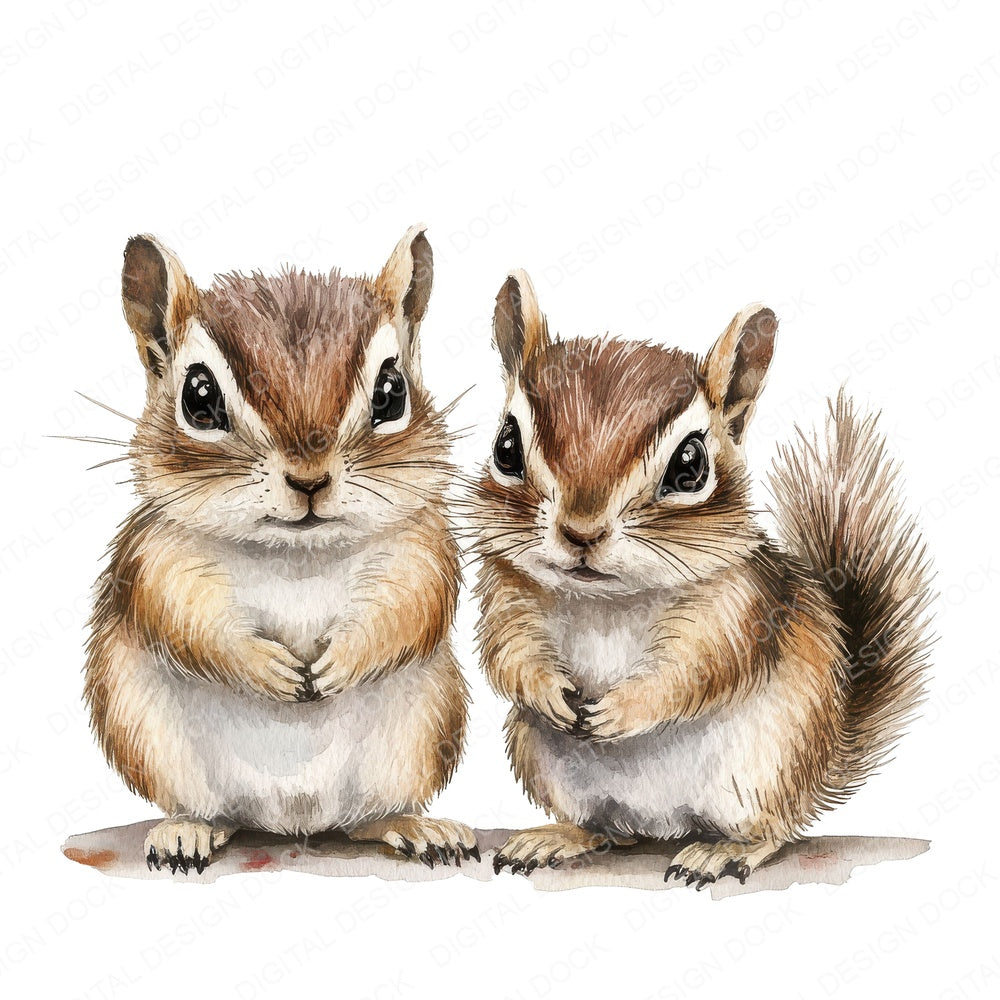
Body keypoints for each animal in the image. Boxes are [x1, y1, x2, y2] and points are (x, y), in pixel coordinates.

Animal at [84, 226, 479, 874]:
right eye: (198, 397)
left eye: (392, 392)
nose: (310, 479)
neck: (296, 555)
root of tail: (291, 820)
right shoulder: (154, 558)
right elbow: (180, 619)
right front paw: (268, 668)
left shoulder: (420, 548)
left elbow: (414, 606)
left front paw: (339, 662)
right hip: (150, 740)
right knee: (208, 810)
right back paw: (187, 832)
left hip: (419, 740)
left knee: (367, 818)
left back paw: (413, 827)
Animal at [468, 270, 932, 887]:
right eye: (506, 446)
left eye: (690, 464)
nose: (581, 532)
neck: (607, 600)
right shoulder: (507, 591)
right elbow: (507, 653)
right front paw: (550, 692)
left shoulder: (737, 608)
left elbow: (699, 669)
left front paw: (621, 709)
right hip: (543, 762)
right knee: (604, 827)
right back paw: (559, 837)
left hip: (765, 771)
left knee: (774, 831)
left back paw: (724, 851)